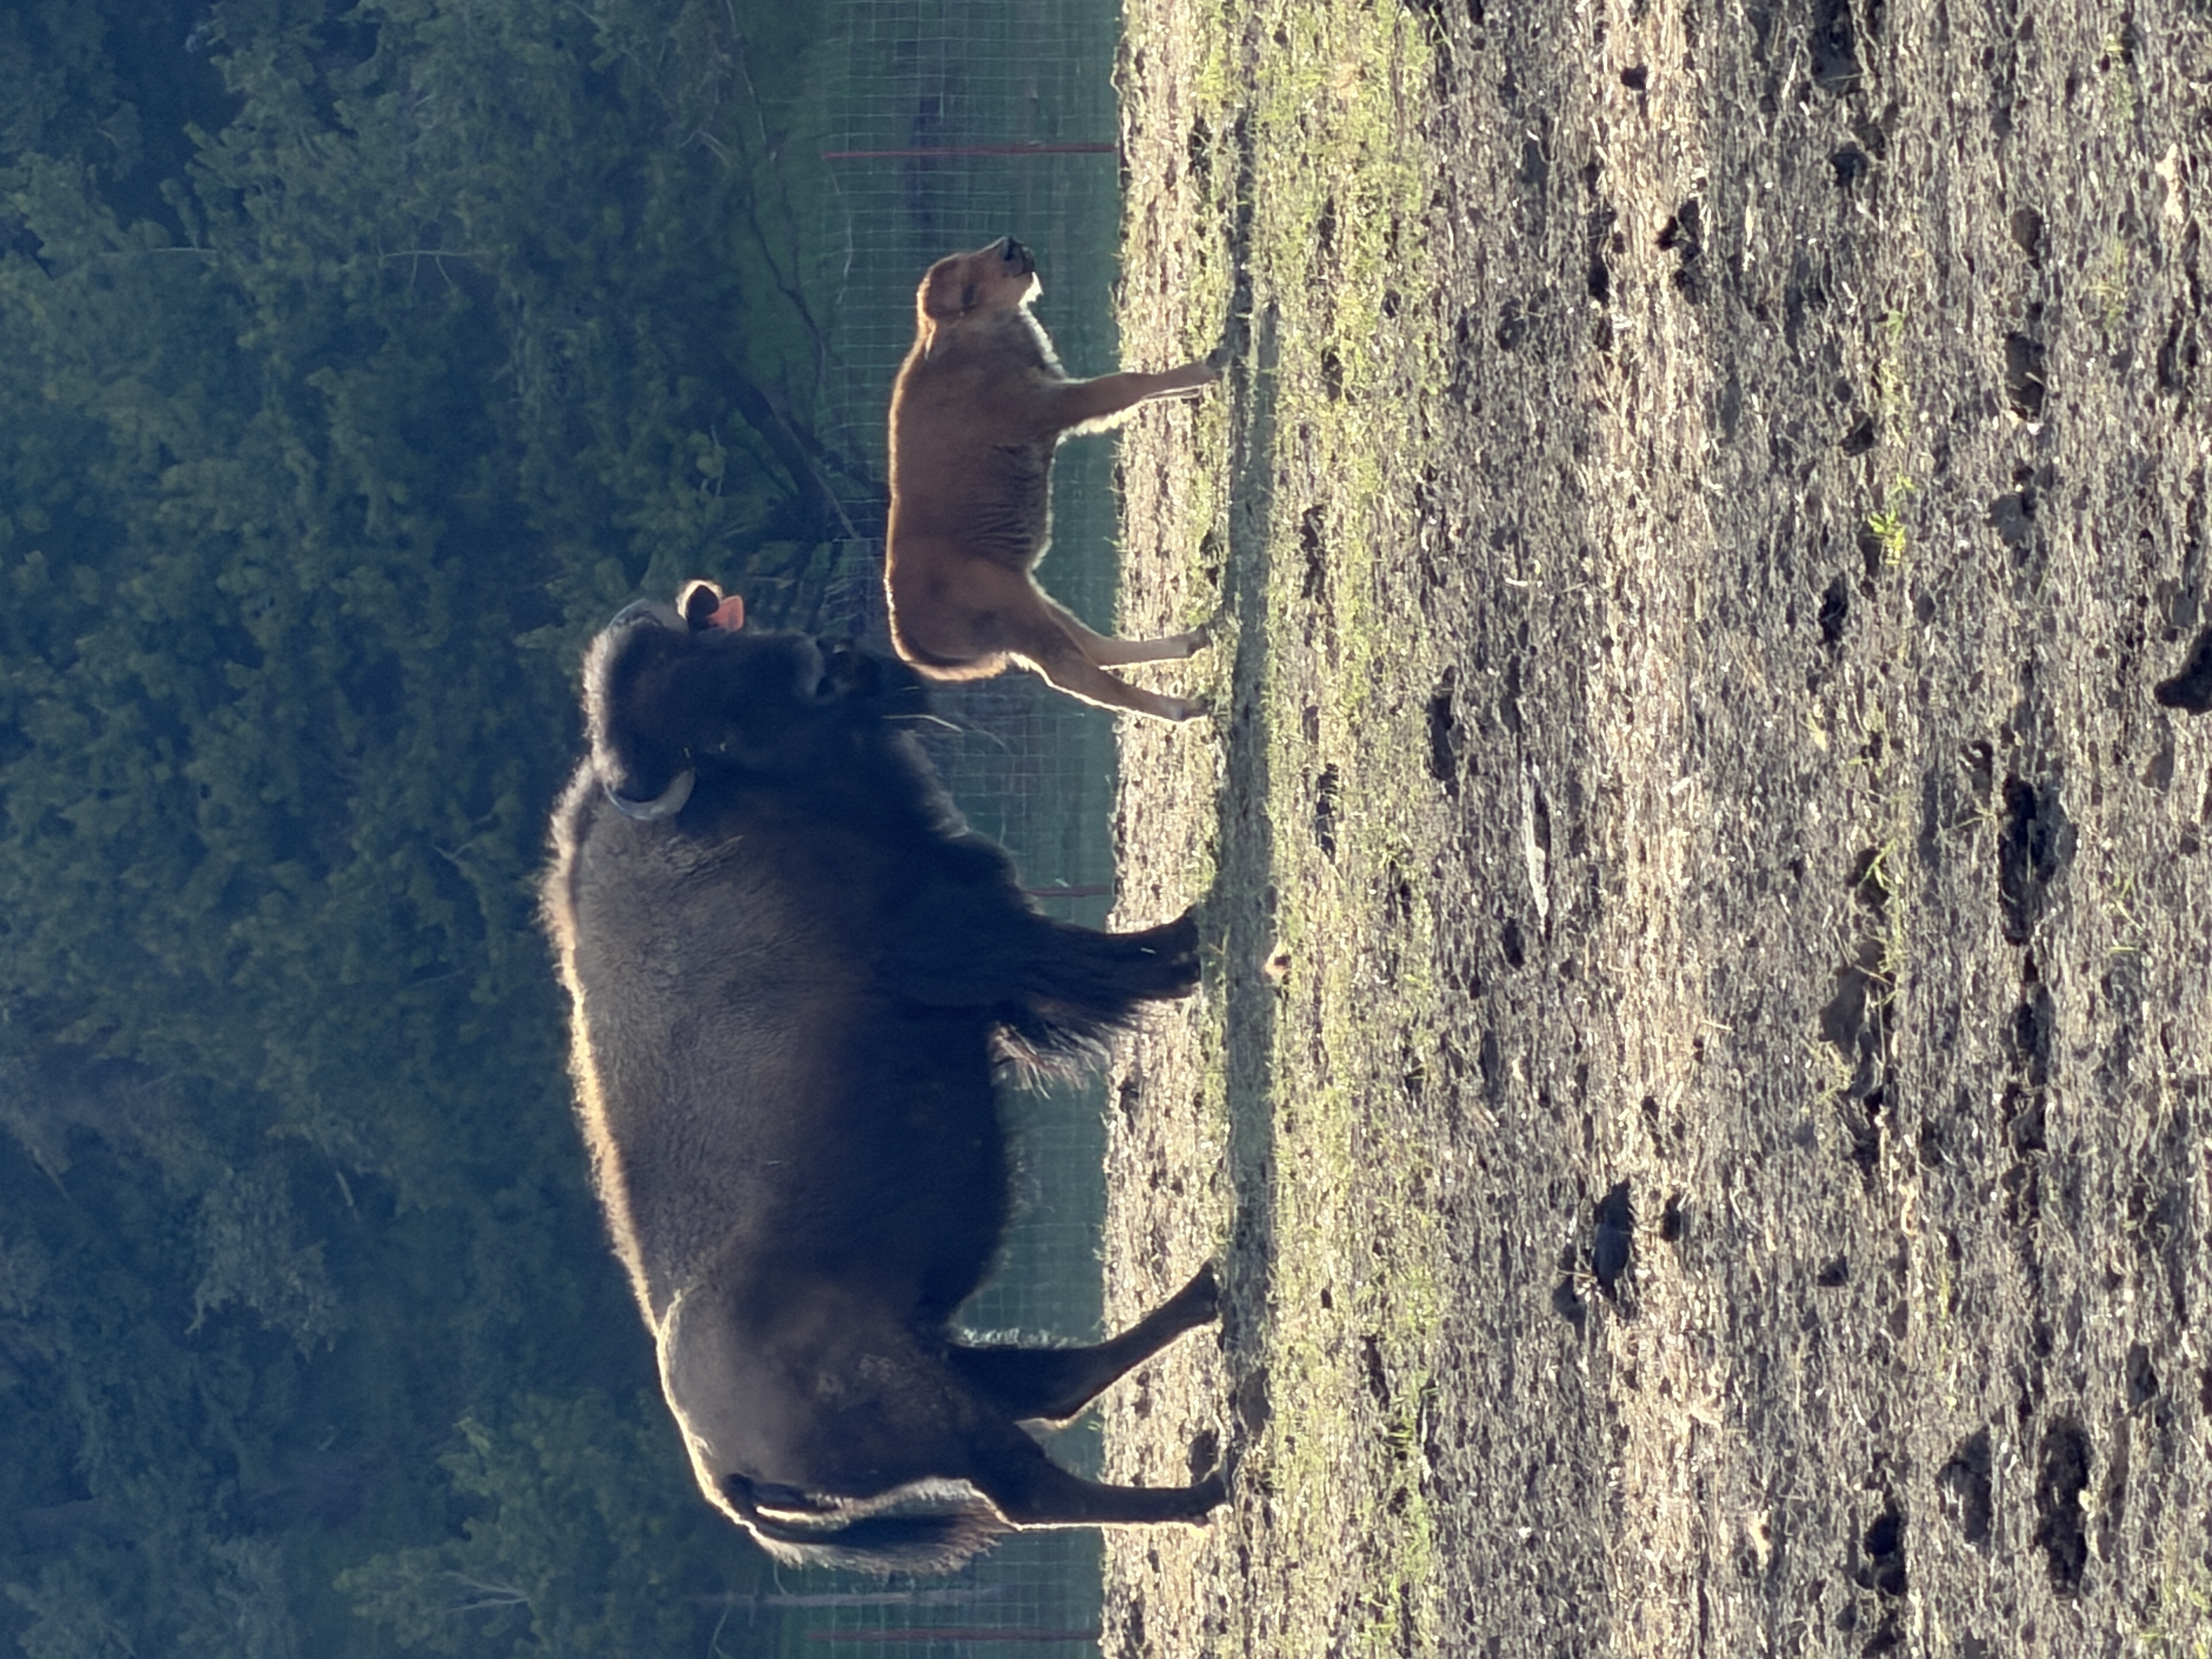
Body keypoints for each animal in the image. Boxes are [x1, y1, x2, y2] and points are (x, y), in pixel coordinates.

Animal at [542, 580, 1227, 1572]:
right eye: (719, 736)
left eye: (724, 647)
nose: (833, 663)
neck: (722, 816)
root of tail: (721, 1472)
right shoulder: (972, 940)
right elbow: (1090, 958)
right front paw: (1193, 938)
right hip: (932, 1402)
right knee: (1029, 1482)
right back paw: (1209, 1489)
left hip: (942, 1353)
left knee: (1054, 1384)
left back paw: (1208, 1296)